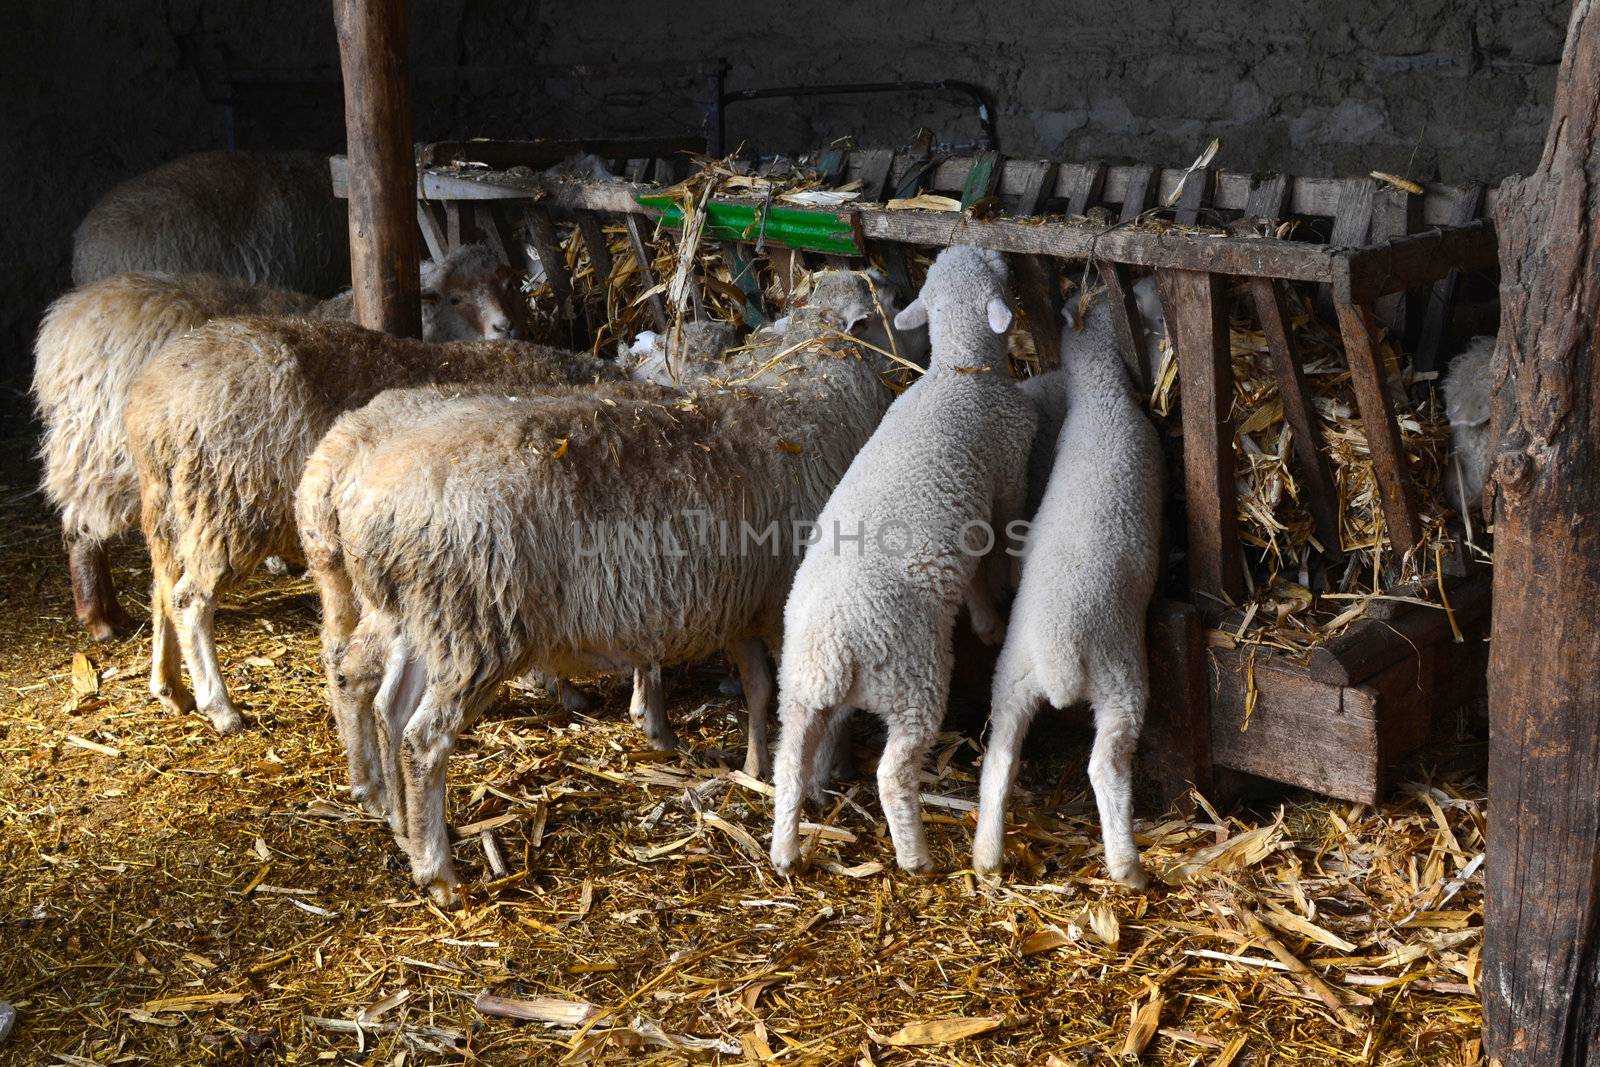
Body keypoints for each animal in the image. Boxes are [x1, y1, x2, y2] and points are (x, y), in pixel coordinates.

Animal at [29, 241, 524, 643]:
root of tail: (62, 322)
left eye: (508, 286)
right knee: (80, 529)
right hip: (98, 452)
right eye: (454, 297)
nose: (506, 327)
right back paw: (100, 617)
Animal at [120, 316, 611, 739]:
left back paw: (169, 688)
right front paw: (557, 686)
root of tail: (150, 401)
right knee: (190, 599)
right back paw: (219, 706)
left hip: (176, 504)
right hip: (228, 502)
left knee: (161, 586)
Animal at [771, 247, 1043, 876]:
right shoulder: (1007, 478)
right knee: (892, 773)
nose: (1000, 254)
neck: (959, 371)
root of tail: (833, 651)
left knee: (788, 766)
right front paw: (995, 619)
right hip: (913, 682)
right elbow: (1002, 544)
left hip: (797, 691)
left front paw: (986, 621)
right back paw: (915, 856)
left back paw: (784, 852)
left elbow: (973, 577)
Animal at [966, 287, 1171, 889]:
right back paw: (1127, 866)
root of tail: (1058, 654)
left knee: (999, 761)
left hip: (1012, 677)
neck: (1100, 399)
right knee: (1106, 765)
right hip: (1121, 680)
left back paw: (986, 857)